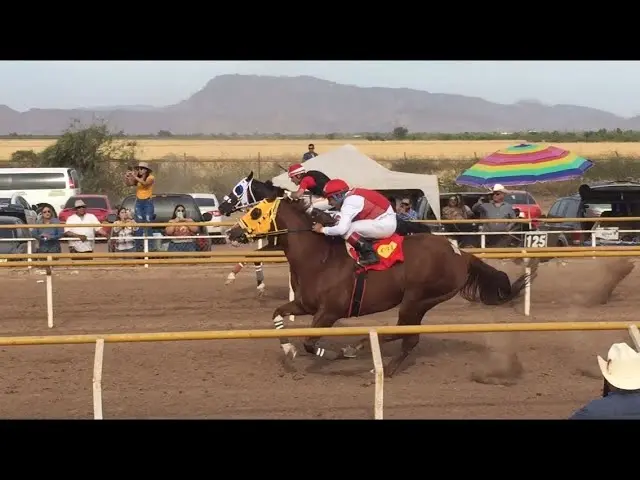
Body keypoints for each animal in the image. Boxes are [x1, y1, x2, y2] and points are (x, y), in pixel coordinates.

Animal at [228, 189, 532, 376]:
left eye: (255, 213)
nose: (231, 232)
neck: (319, 258)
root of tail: (460, 253)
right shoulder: (305, 305)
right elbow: (278, 314)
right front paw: (288, 349)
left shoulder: (329, 312)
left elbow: (311, 342)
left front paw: (334, 354)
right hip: (420, 302)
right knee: (409, 339)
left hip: (417, 299)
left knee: (406, 334)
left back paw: (360, 351)